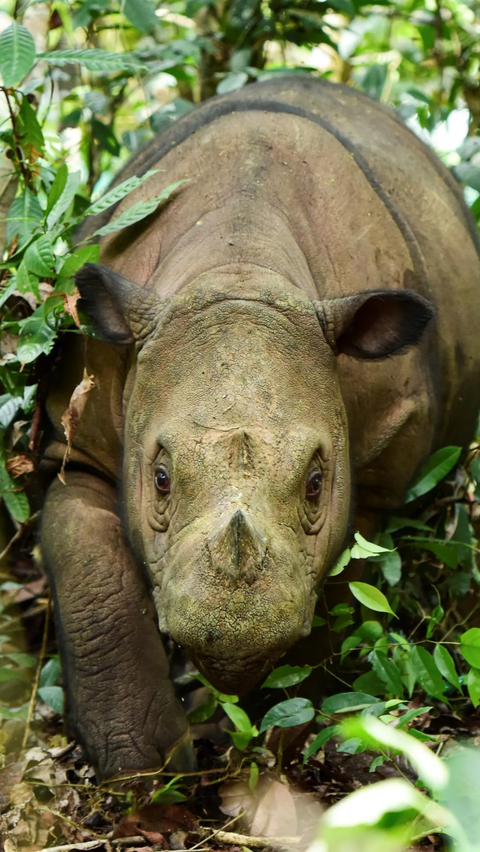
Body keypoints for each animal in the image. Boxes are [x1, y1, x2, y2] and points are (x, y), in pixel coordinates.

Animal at [40, 78, 480, 780]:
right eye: (159, 480)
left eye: (316, 484)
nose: (233, 631)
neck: (240, 267)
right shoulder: (77, 438)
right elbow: (92, 572)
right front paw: (146, 775)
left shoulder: (384, 461)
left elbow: (344, 581)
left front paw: (284, 743)